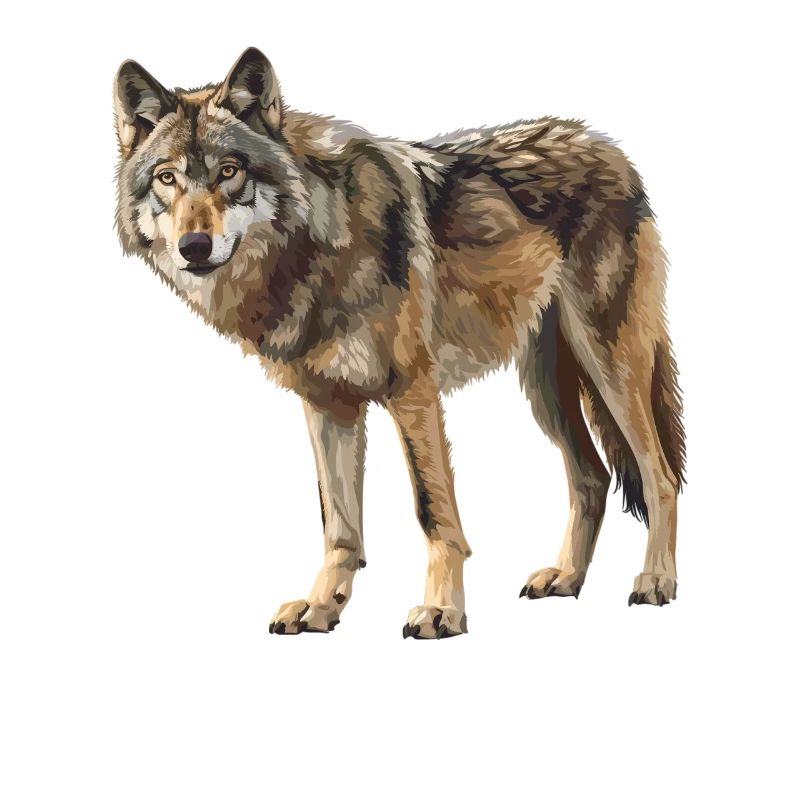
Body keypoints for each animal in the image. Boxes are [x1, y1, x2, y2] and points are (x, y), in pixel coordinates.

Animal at [114, 47, 685, 638]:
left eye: (229, 172)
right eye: (167, 178)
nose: (194, 246)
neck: (318, 245)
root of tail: (607, 146)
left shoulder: (412, 392)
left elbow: (433, 512)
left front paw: (442, 610)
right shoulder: (328, 404)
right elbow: (339, 525)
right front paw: (322, 607)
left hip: (610, 368)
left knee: (660, 475)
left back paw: (656, 581)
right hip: (545, 389)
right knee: (592, 478)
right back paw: (566, 578)